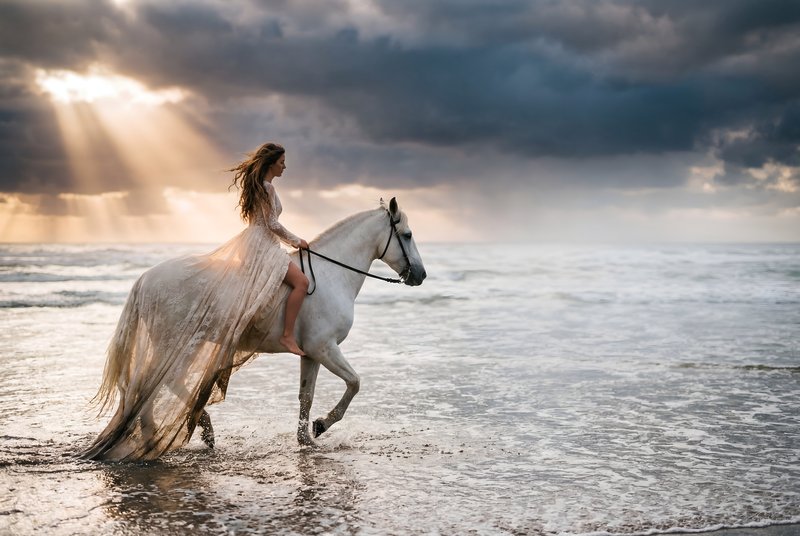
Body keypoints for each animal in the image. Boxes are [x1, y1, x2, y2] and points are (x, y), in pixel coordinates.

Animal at [83, 197, 426, 460]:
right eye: (408, 235)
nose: (420, 275)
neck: (332, 275)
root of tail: (145, 279)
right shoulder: (324, 347)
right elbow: (354, 383)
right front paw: (322, 425)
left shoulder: (311, 354)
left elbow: (306, 396)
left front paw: (306, 440)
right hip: (176, 345)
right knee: (152, 386)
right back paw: (169, 433)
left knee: (156, 386)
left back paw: (194, 428)